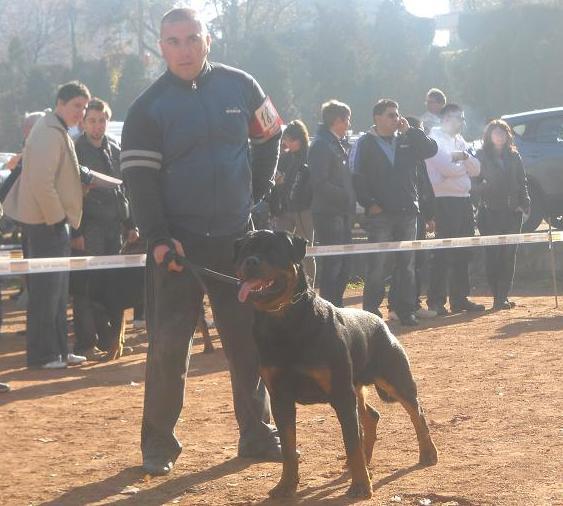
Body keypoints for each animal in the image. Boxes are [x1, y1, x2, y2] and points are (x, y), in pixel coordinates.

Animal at [236, 231, 438, 500]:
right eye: (244, 250)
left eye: (272, 250)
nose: (250, 262)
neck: (285, 321)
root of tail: (379, 321)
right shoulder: (280, 398)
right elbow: (289, 449)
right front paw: (286, 486)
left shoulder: (341, 395)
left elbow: (351, 441)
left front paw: (361, 486)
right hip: (356, 386)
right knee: (371, 416)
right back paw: (363, 463)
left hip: (395, 379)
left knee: (417, 413)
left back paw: (428, 453)